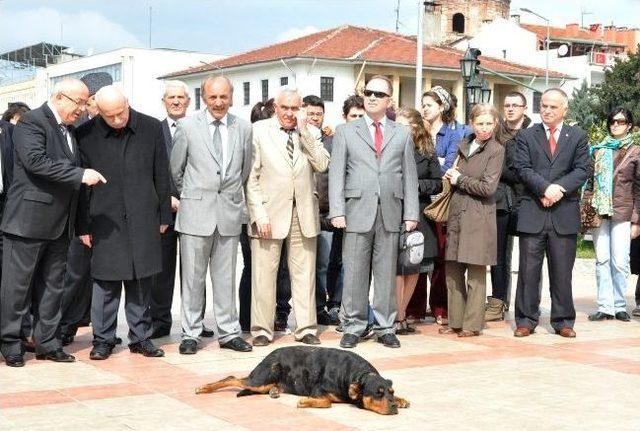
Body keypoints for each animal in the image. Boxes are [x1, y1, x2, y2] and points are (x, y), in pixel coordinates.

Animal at [195, 344, 412, 416]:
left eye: (390, 392)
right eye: (378, 394)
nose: (393, 406)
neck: (357, 375)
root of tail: (269, 355)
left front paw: (401, 400)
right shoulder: (318, 390)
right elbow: (325, 402)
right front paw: (305, 402)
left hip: (264, 383)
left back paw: (275, 391)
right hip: (261, 379)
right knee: (232, 378)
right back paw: (204, 387)